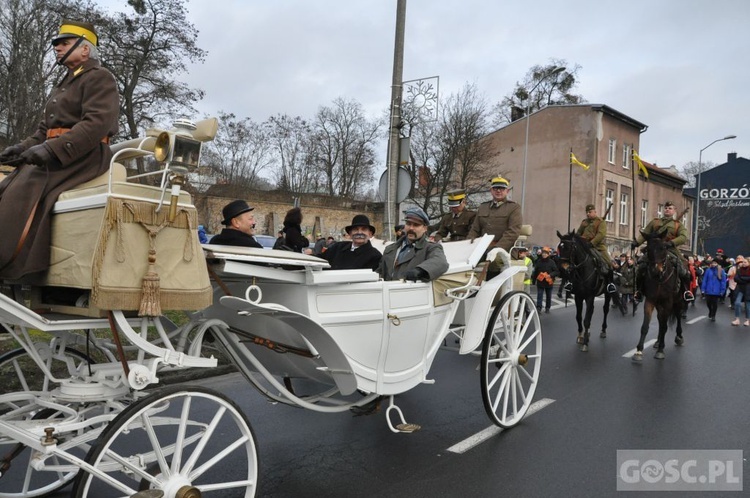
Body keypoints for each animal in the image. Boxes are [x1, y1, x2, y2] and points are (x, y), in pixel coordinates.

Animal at [636, 231, 688, 360]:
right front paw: (639, 350)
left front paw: (660, 350)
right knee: (660, 319)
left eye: (663, 247)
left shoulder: (668, 302)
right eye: (648, 249)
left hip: (678, 302)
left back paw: (679, 337)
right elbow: (645, 326)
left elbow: (664, 327)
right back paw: (658, 341)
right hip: (659, 305)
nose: (656, 270)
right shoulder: (650, 300)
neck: (659, 279)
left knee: (678, 316)